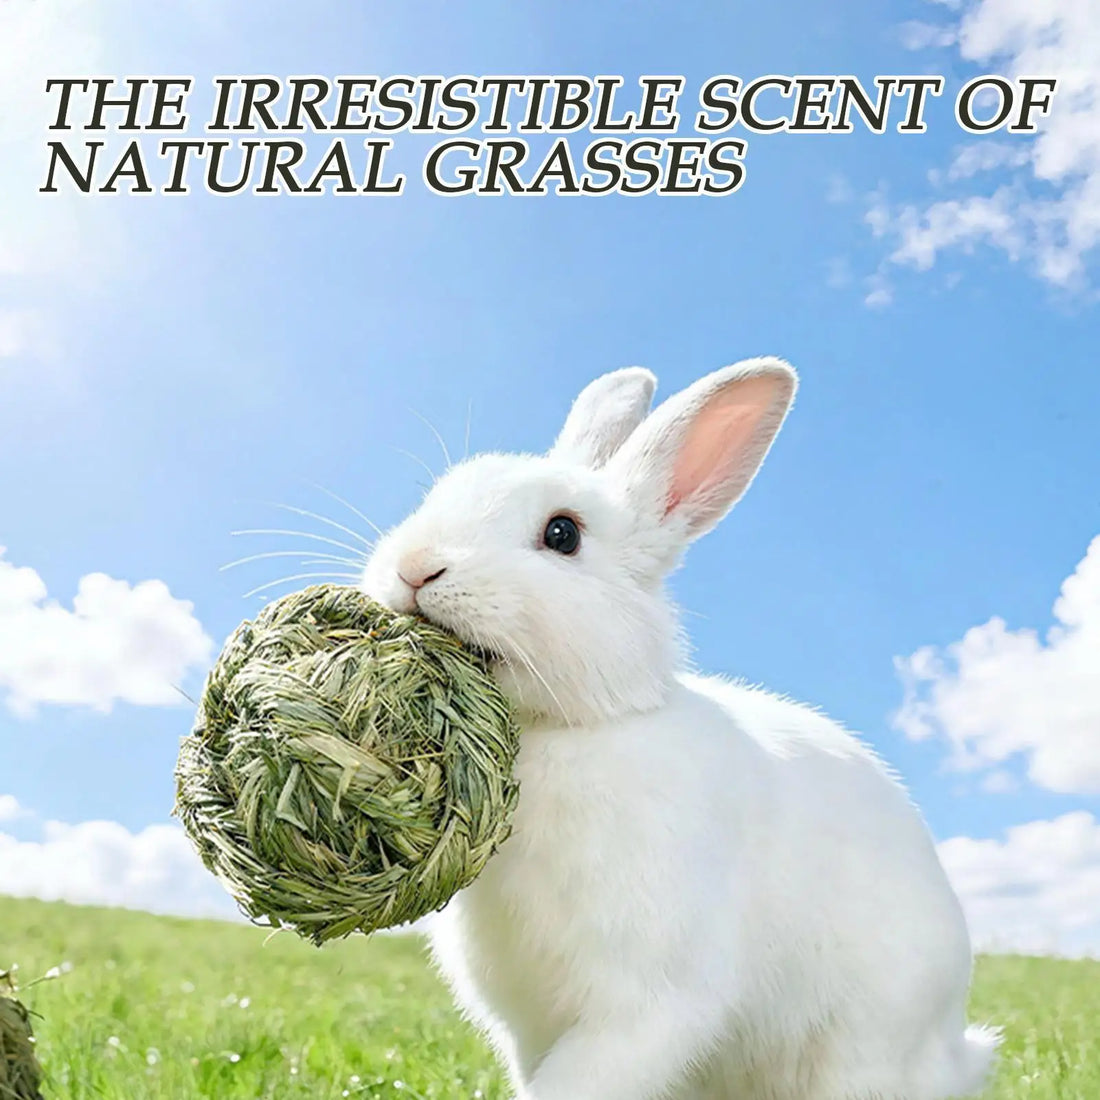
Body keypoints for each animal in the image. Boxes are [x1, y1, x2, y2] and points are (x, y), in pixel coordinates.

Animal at [360, 359, 1000, 1100]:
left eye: (562, 534)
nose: (414, 567)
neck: (578, 727)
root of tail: (949, 1055)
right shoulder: (530, 1027)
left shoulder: (648, 1004)